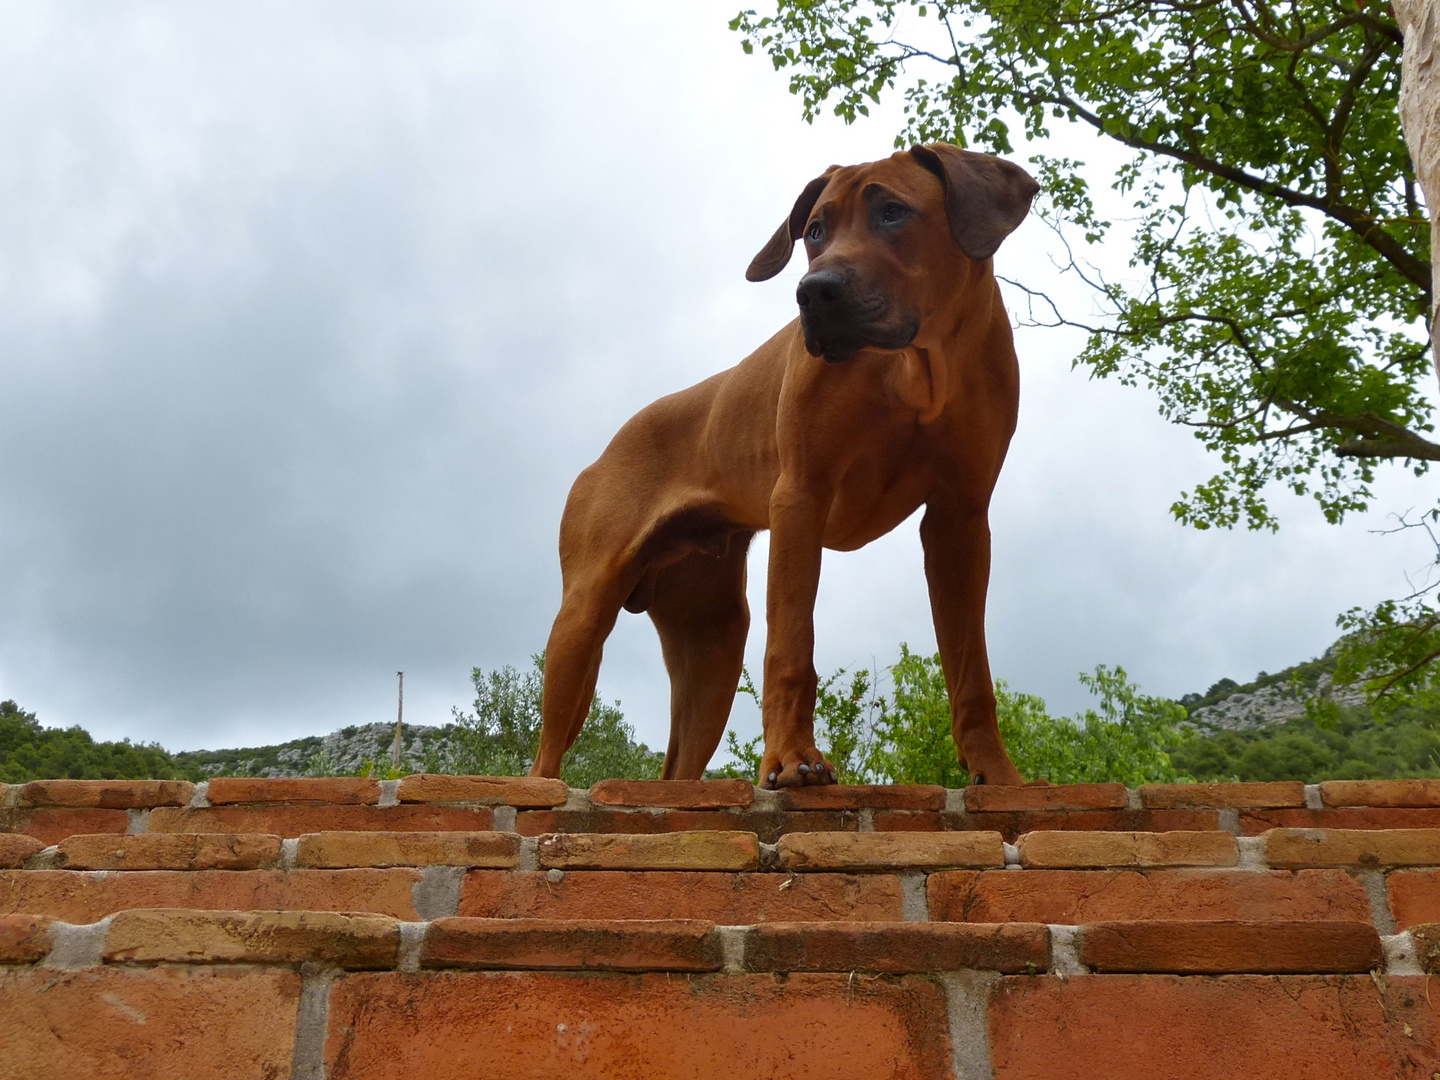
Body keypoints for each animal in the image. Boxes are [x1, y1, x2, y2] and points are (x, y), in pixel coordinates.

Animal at [529, 144, 1036, 789]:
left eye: (893, 212)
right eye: (815, 231)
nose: (814, 293)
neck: (916, 365)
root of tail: (604, 451)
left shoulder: (961, 519)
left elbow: (971, 671)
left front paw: (997, 775)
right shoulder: (801, 496)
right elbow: (791, 646)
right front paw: (793, 758)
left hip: (712, 643)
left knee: (679, 768)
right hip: (584, 614)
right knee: (545, 753)